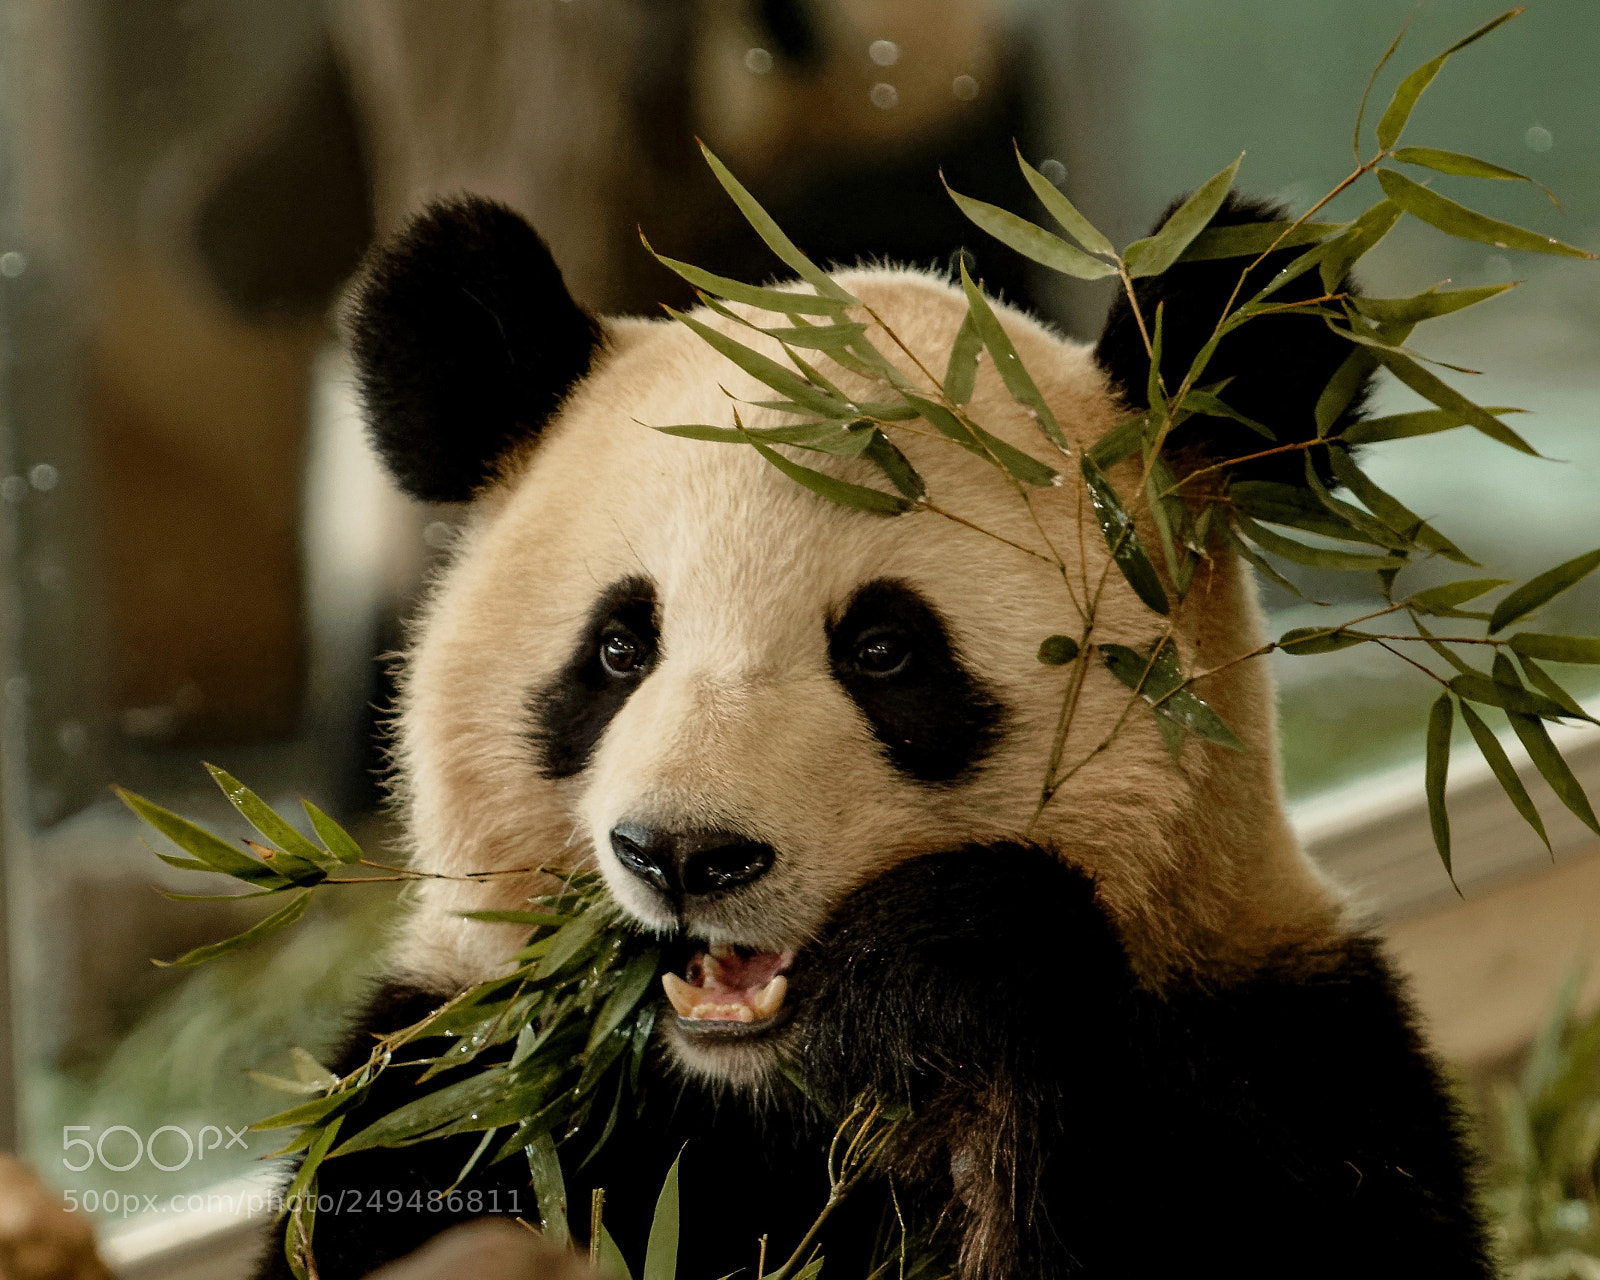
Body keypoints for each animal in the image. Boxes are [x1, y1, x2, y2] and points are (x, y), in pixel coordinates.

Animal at [255, 192, 1496, 1280]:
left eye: (885, 650)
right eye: (617, 647)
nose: (685, 854)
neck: (763, 1085)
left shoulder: (1278, 1017)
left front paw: (940, 958)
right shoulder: (456, 1080)